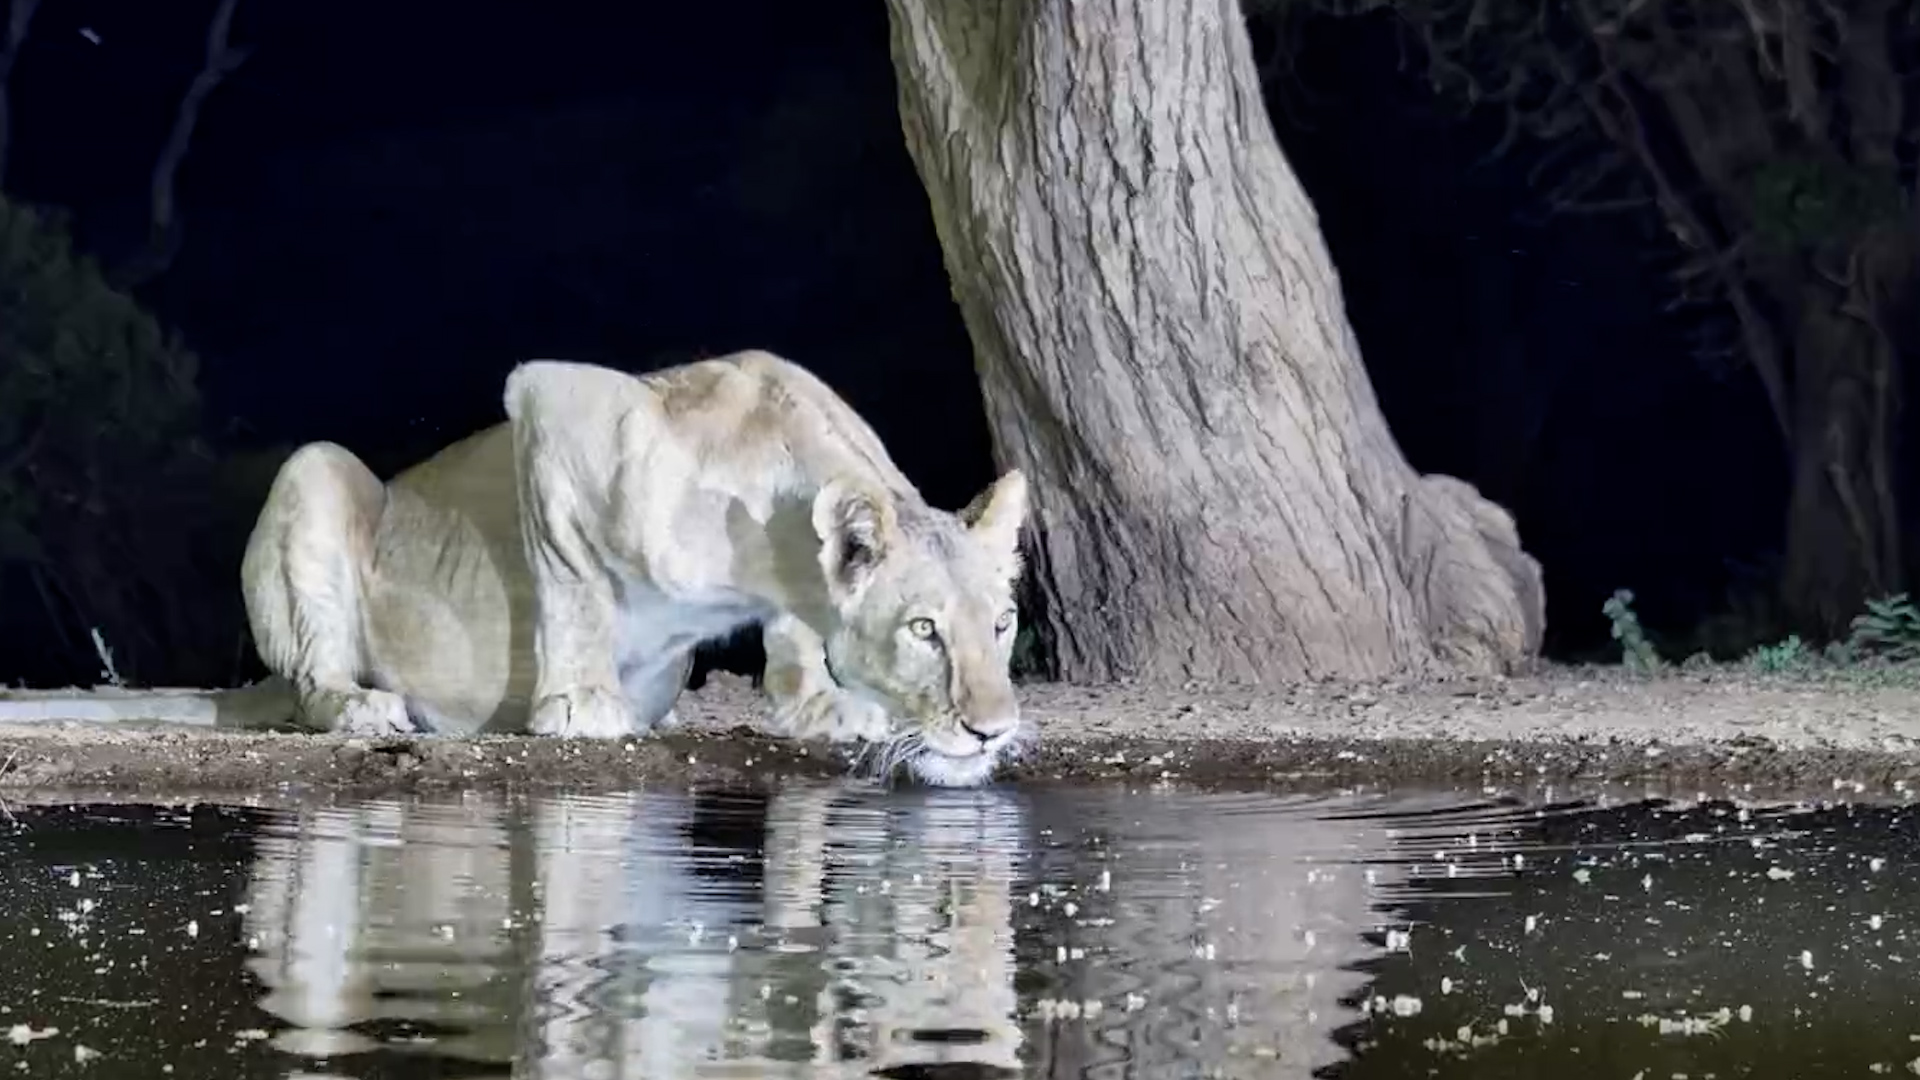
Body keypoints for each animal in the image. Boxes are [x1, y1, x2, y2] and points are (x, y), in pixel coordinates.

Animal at [239, 350, 1031, 787]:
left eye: (1002, 623)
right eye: (923, 629)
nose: (994, 731)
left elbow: (796, 631)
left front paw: (819, 706)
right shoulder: (552, 402)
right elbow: (571, 580)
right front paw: (582, 705)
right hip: (315, 467)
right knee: (310, 681)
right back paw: (355, 704)